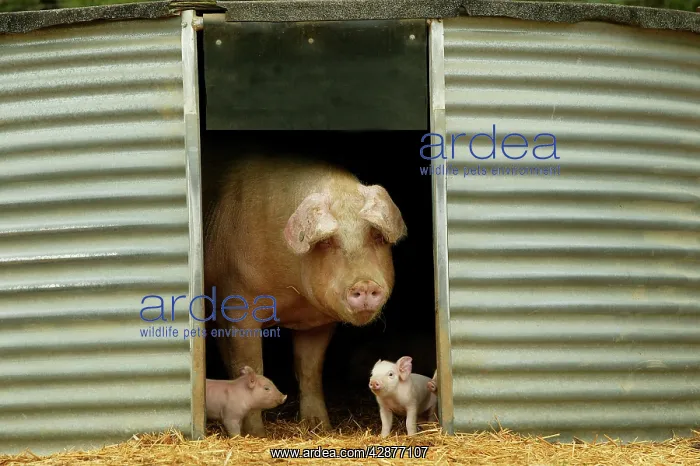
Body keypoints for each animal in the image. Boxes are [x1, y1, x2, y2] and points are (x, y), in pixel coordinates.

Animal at [204, 155, 407, 437]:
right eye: (328, 242)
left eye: (376, 236)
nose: (365, 284)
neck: (294, 298)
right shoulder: (236, 305)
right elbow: (252, 365)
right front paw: (256, 434)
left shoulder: (317, 322)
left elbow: (310, 368)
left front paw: (320, 427)